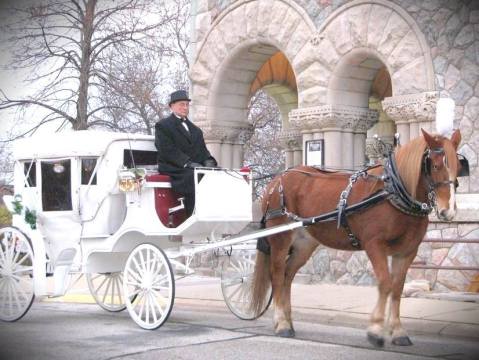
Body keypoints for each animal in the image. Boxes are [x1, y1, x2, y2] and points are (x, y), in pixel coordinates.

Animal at [251, 129, 468, 346]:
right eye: (435, 165)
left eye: (459, 167)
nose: (448, 211)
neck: (394, 193)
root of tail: (277, 180)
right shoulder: (374, 245)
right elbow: (385, 283)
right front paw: (376, 329)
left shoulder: (407, 252)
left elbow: (397, 288)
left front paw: (398, 331)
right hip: (280, 239)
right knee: (277, 275)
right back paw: (281, 323)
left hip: (305, 244)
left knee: (287, 275)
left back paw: (288, 321)